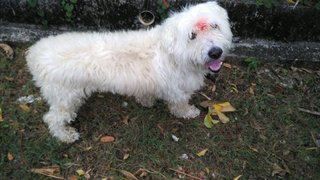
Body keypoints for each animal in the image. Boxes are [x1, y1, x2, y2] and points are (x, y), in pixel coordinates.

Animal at [26, 1, 231, 142]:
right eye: (192, 36)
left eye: (214, 26)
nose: (215, 52)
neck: (172, 53)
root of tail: (35, 54)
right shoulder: (177, 91)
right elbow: (180, 105)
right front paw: (188, 112)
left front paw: (146, 101)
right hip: (66, 98)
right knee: (52, 118)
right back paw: (65, 135)